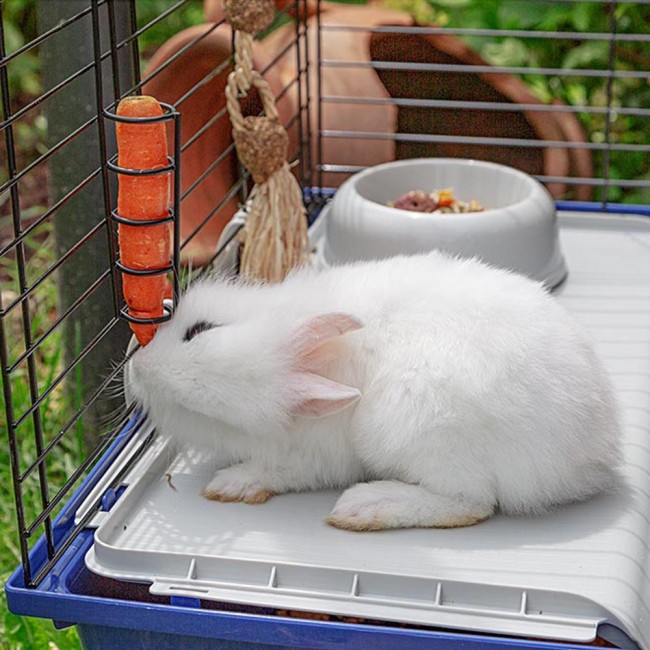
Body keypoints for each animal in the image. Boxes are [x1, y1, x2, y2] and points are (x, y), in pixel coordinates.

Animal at [127, 250, 621, 531]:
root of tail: (592, 455)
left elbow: (278, 471)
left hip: (418, 429)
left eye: (200, 330)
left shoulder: (316, 457)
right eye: (202, 415)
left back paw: (364, 507)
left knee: (471, 503)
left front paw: (231, 484)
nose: (135, 369)